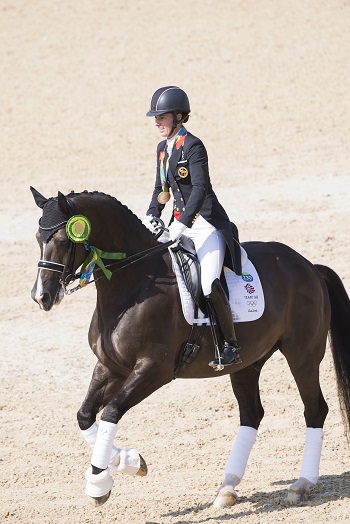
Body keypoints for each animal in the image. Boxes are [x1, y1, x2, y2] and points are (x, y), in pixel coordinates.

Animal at [30, 187, 350, 508]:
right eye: (37, 238)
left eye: (62, 240)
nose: (41, 297)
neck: (134, 286)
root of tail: (308, 266)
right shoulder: (111, 366)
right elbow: (85, 416)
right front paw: (128, 461)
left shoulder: (154, 369)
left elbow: (110, 412)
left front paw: (101, 482)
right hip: (247, 363)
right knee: (251, 414)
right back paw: (227, 488)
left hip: (302, 356)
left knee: (315, 410)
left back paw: (301, 484)